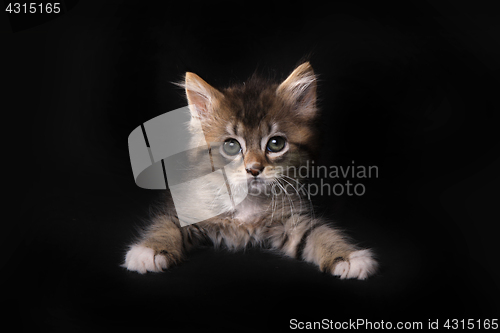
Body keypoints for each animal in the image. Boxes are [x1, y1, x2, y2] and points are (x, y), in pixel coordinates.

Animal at [125, 61, 378, 278]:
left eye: (276, 144)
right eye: (231, 146)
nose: (254, 169)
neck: (247, 201)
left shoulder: (291, 221)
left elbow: (317, 233)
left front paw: (347, 257)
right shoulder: (185, 208)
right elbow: (167, 225)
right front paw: (150, 250)